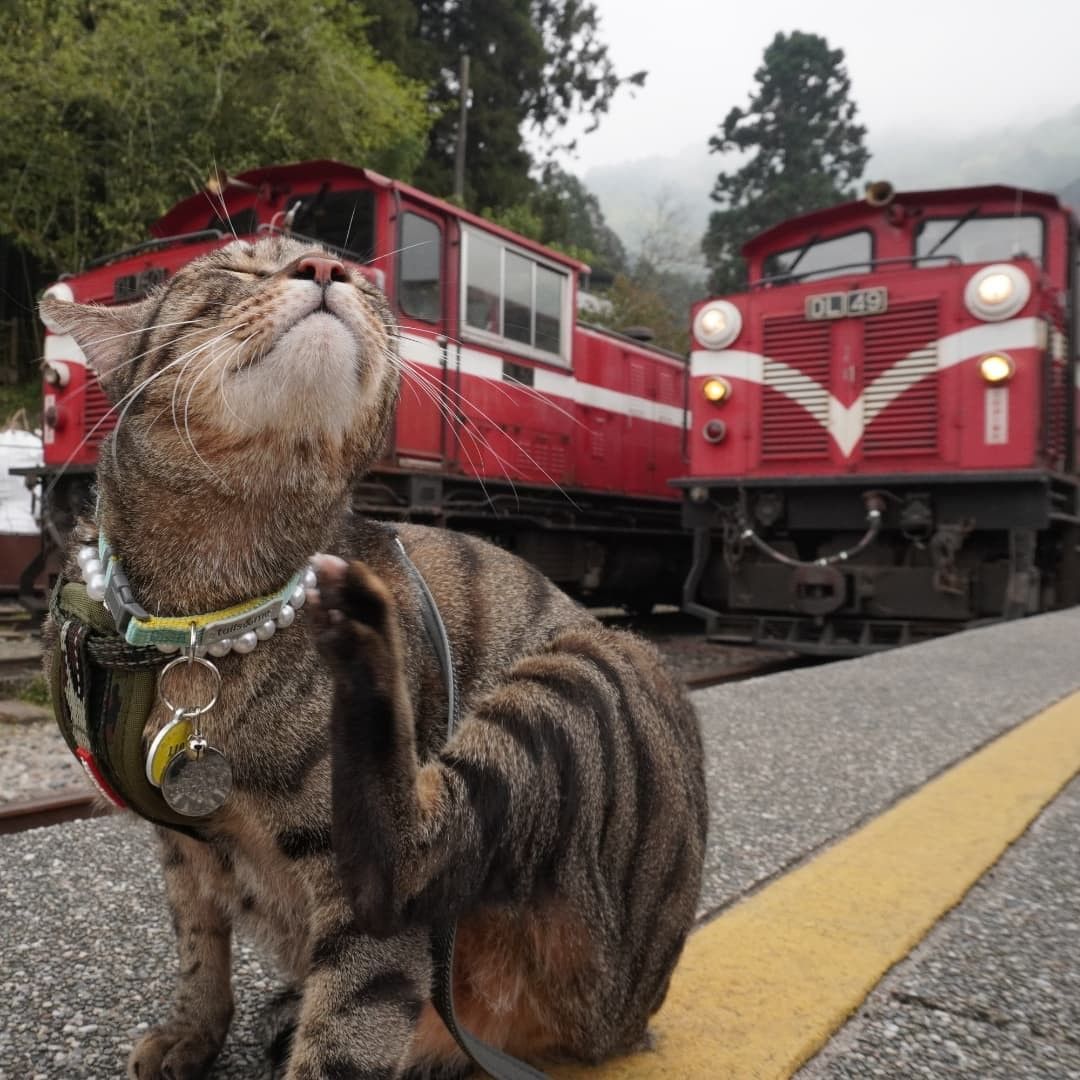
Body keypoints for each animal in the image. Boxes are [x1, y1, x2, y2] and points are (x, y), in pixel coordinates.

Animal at [39, 236, 708, 1080]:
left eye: (360, 274)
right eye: (239, 266)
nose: (328, 270)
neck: (200, 614)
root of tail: (633, 1019)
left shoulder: (362, 931)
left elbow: (343, 1034)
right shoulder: (184, 853)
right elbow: (198, 947)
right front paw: (191, 1032)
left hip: (584, 674)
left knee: (411, 856)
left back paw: (368, 649)